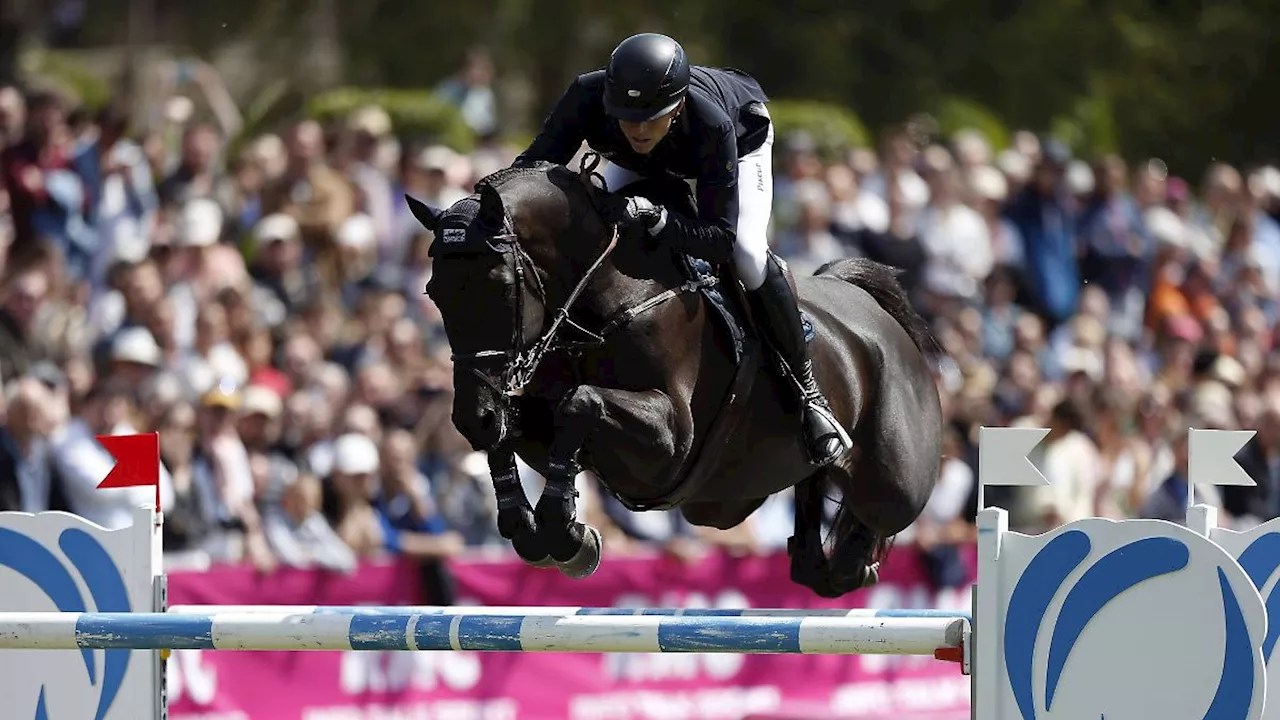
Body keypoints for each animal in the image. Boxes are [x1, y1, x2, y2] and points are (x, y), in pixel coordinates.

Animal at [404, 159, 947, 597]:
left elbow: (581, 402)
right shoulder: (538, 421)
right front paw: (528, 523)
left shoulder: (671, 443)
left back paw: (856, 554)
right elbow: (520, 427)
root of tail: (877, 313)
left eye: (500, 286)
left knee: (878, 514)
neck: (607, 299)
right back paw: (825, 554)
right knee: (813, 519)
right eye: (433, 292)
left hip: (894, 484)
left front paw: (565, 532)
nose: (471, 416)